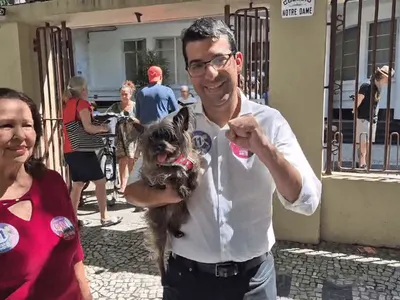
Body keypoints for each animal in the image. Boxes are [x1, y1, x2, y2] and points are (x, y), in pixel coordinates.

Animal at [134, 106, 202, 278]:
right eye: (152, 139)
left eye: (170, 137)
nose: (159, 146)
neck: (173, 160)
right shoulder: (156, 174)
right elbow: (171, 175)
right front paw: (181, 185)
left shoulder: (192, 159)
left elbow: (194, 168)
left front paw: (192, 181)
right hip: (159, 227)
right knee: (159, 254)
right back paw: (163, 274)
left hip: (181, 212)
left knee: (172, 224)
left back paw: (176, 231)